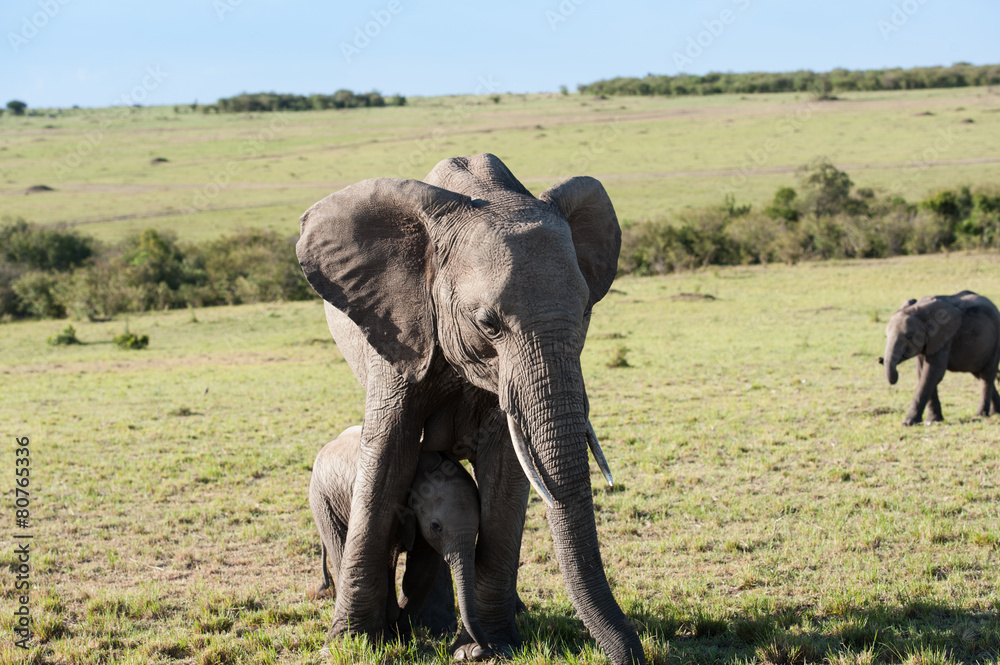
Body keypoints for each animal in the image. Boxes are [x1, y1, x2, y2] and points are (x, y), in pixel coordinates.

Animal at [308, 425, 490, 653]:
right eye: (436, 526)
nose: (480, 649)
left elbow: (422, 568)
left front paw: (401, 634)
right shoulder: (396, 509)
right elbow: (385, 560)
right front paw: (393, 629)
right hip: (323, 502)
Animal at [879, 290, 1000, 425]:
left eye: (910, 337)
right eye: (886, 336)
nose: (880, 360)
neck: (918, 311)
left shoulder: (944, 338)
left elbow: (933, 373)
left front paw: (908, 423)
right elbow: (922, 373)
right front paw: (933, 420)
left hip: (995, 343)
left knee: (987, 376)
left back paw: (980, 415)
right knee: (980, 374)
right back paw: (995, 412)